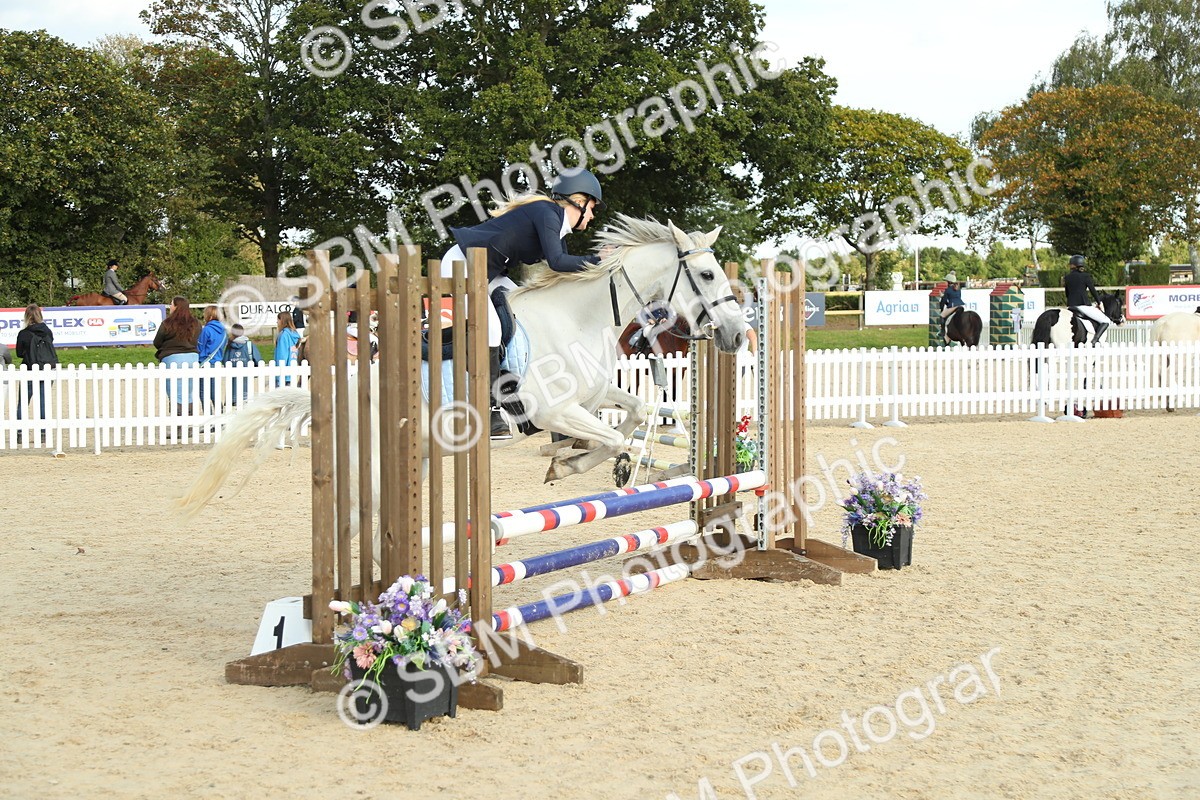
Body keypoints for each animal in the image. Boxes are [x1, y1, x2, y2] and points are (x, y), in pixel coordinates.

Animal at [175, 216, 746, 521]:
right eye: (705, 274)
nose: (739, 335)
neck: (578, 314)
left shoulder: (589, 396)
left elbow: (634, 412)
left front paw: (573, 459)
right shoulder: (555, 409)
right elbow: (611, 439)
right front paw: (572, 463)